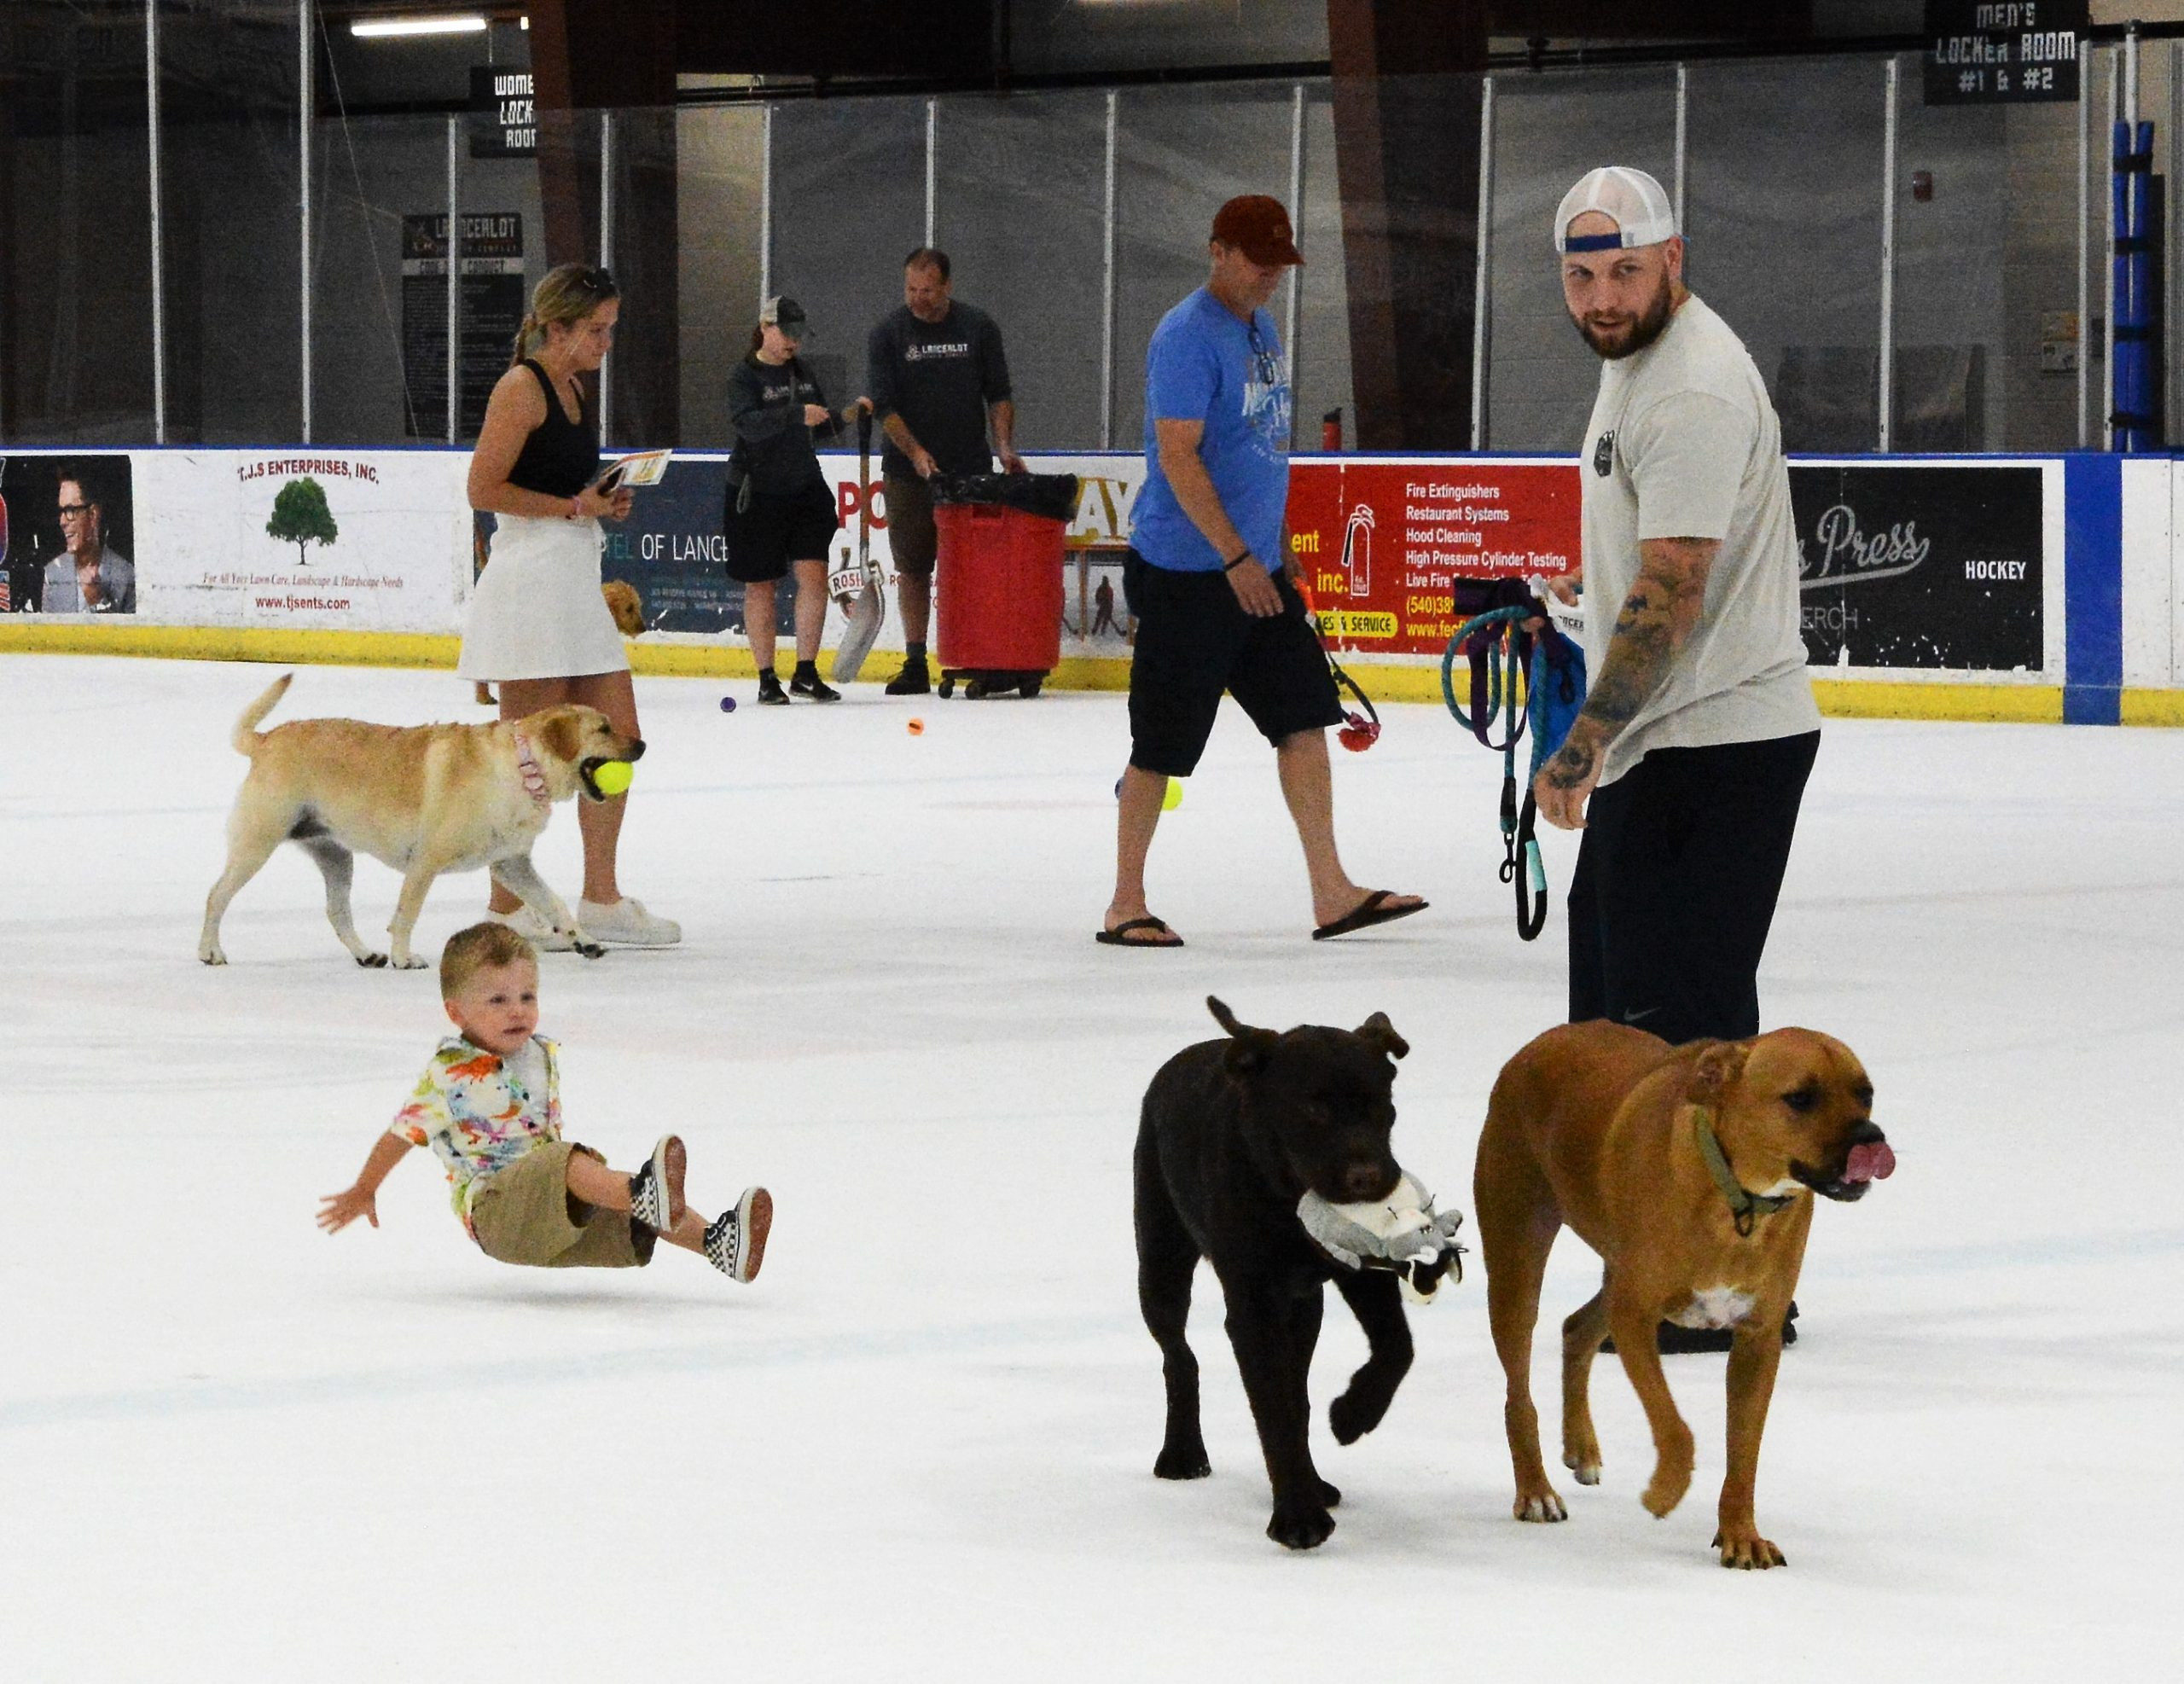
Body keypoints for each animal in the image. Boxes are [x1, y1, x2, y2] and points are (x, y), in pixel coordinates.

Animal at [197, 664, 642, 969]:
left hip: (336, 856)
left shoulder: (510, 864)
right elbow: (406, 914)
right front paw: (403, 957)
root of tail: (265, 740)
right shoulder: (426, 862)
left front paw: (583, 939)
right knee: (216, 895)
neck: (519, 765)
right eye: (603, 729)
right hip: (257, 843)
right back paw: (210, 950)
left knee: (337, 912)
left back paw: (366, 954)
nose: (643, 745)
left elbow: (554, 904)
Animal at [1476, 1022, 1886, 1572]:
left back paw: (1581, 1446)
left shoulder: (1758, 1340)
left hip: (1613, 1272)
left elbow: (1744, 1451)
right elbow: (1675, 1427)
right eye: (1801, 1097)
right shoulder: (1636, 1319)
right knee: (1518, 1393)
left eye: (1865, 1093)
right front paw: (1666, 1490)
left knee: (1576, 1328)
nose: (1872, 1138)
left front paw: (1740, 1534)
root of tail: (1536, 1046)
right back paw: (1535, 1490)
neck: (1735, 1196)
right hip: (1517, 1260)